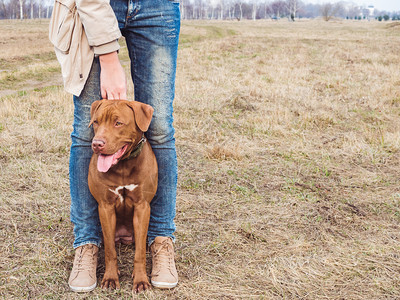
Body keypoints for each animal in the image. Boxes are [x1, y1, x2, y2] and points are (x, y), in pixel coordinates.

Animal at [87, 99, 158, 292]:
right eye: (96, 122)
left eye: (118, 123)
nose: (97, 144)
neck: (123, 165)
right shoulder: (105, 207)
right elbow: (110, 251)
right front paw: (111, 277)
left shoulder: (142, 207)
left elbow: (139, 253)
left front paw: (140, 280)